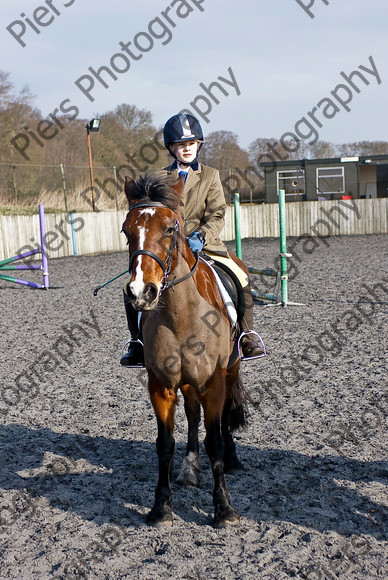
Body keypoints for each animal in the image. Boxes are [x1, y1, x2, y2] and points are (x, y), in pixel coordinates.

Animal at [122, 173, 249, 532]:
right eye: (126, 230)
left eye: (170, 228)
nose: (140, 292)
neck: (179, 314)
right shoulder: (161, 385)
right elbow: (164, 444)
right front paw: (160, 507)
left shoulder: (214, 381)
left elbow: (214, 440)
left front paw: (224, 509)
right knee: (193, 416)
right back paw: (190, 467)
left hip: (231, 368)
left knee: (222, 418)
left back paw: (232, 459)